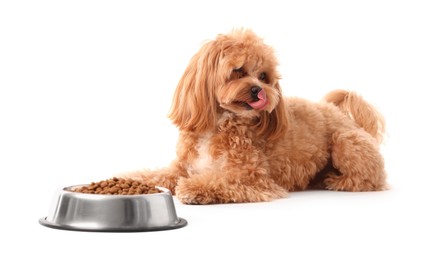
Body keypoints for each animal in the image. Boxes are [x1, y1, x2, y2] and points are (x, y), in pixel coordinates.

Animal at [120, 27, 386, 203]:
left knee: (369, 180)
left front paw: (193, 189)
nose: (259, 90)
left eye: (264, 76)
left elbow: (219, 181)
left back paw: (337, 182)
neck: (219, 125)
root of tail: (344, 116)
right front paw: (130, 178)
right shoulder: (182, 167)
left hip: (346, 142)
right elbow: (158, 174)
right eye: (238, 71)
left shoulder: (252, 178)